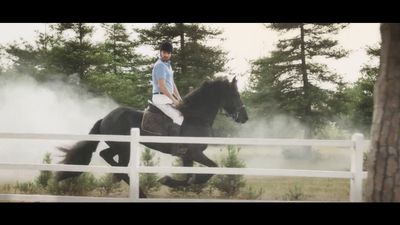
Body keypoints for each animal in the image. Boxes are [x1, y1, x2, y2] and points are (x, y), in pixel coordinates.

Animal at [54, 77, 248, 197]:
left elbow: (188, 179)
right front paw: (168, 180)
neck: (197, 117)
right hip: (125, 148)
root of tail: (106, 117)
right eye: (235, 95)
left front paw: (168, 181)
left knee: (107, 155)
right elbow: (211, 169)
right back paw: (138, 191)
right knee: (119, 164)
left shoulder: (187, 155)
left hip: (119, 146)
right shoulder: (194, 153)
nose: (245, 118)